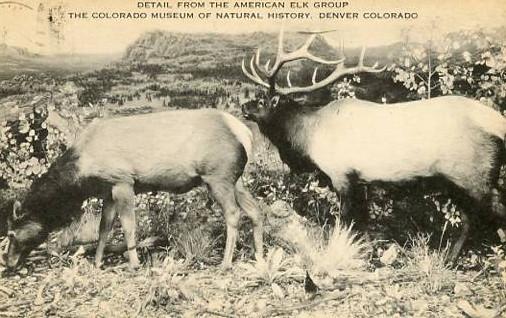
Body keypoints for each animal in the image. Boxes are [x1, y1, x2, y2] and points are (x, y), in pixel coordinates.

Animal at [2, 108, 264, 270]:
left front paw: (134, 263)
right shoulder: (107, 191)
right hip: (235, 179)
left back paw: (226, 262)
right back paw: (259, 255)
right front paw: (97, 262)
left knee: (233, 213)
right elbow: (104, 228)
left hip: (217, 176)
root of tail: (246, 134)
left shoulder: (123, 182)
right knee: (255, 210)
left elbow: (128, 226)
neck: (81, 174)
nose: (7, 262)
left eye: (11, 234)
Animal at [241, 29, 506, 262]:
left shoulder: (341, 175)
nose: (244, 107)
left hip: (473, 175)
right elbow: (363, 222)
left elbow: (345, 220)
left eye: (262, 101)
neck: (308, 138)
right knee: (472, 217)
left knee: (485, 214)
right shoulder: (361, 180)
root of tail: (499, 123)